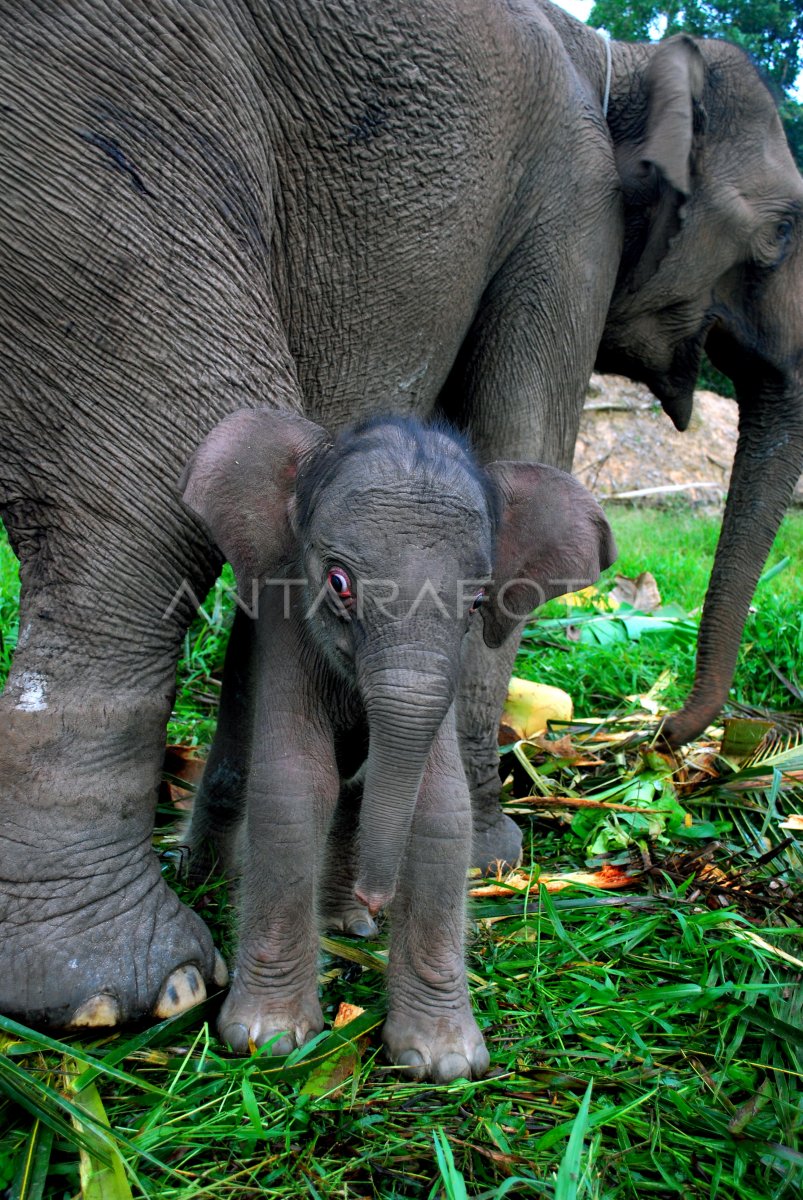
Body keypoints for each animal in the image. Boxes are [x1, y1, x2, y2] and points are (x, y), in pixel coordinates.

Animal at [180, 410, 614, 1080]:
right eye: (338, 581)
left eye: (477, 600)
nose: (376, 896)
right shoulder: (286, 629)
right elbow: (296, 787)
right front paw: (266, 1041)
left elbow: (439, 808)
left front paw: (443, 1063)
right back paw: (204, 875)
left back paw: (348, 922)